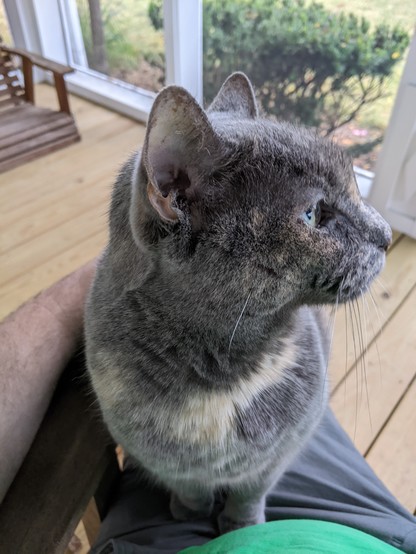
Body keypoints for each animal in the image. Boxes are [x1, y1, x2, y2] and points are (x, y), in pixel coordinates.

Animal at [85, 72, 394, 532]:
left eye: (355, 189)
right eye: (313, 215)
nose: (388, 234)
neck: (219, 373)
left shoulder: (282, 449)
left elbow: (251, 490)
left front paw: (240, 525)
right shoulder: (160, 458)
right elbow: (190, 485)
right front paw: (188, 511)